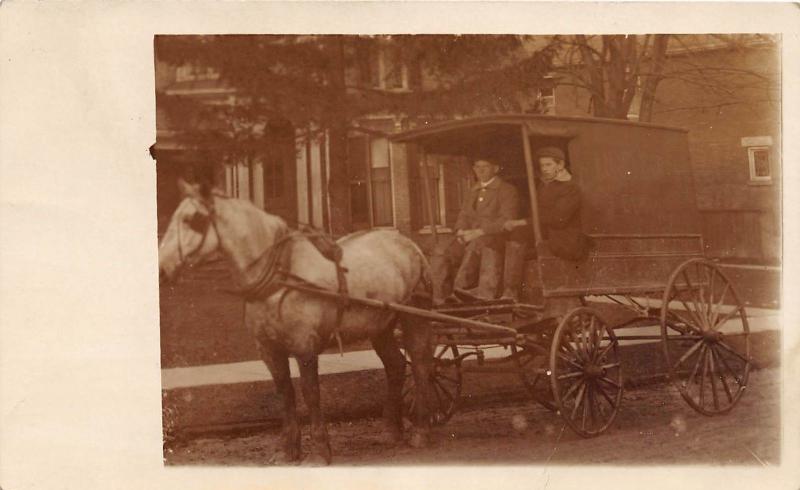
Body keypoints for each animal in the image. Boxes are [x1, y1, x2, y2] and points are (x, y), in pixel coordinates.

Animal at [159, 180, 434, 464]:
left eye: (193, 219)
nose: (162, 270)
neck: (281, 275)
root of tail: (407, 243)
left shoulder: (305, 347)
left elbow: (310, 393)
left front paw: (321, 451)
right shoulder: (269, 349)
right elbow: (285, 392)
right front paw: (288, 449)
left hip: (415, 317)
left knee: (421, 364)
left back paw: (420, 431)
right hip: (380, 326)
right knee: (396, 365)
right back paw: (391, 430)